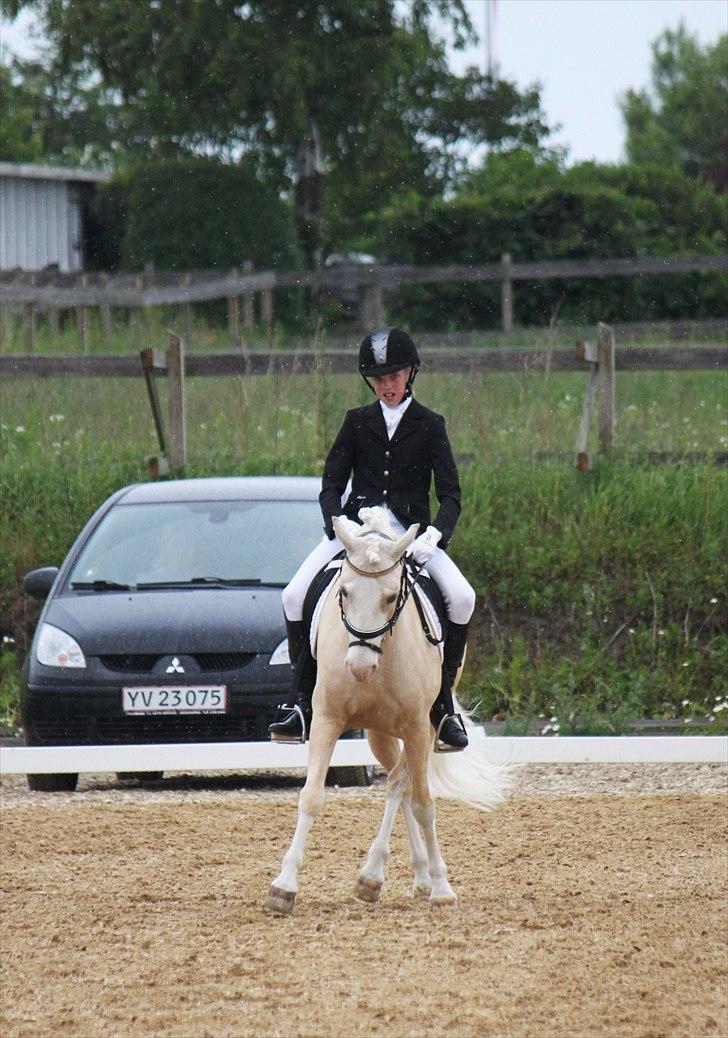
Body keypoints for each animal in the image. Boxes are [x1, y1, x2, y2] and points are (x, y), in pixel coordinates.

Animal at [263, 506, 508, 913]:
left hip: (423, 728)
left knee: (400, 785)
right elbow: (311, 797)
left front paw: (442, 888)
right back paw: (395, 877)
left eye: (393, 597)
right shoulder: (327, 719)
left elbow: (424, 803)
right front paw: (283, 887)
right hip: (378, 733)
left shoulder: (418, 726)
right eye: (344, 592)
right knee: (399, 785)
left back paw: (387, 876)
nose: (359, 667)